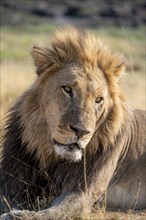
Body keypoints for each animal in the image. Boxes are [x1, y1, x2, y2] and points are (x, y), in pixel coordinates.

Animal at [0, 26, 145, 219]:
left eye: (98, 100)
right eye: (67, 89)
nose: (81, 132)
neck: (50, 156)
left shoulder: (83, 190)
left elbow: (54, 212)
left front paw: (20, 215)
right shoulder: (12, 180)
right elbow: (9, 200)